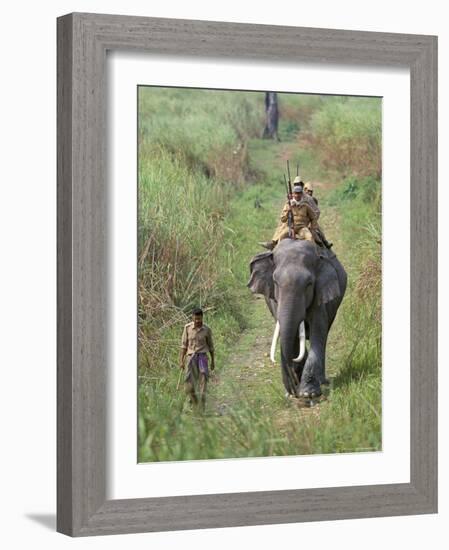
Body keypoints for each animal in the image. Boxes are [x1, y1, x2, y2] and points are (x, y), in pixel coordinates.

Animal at [245, 239, 346, 398]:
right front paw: (296, 388)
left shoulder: (320, 297)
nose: (292, 390)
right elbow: (292, 338)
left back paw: (321, 381)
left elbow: (318, 331)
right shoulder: (274, 301)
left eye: (309, 284)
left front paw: (308, 393)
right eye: (275, 282)